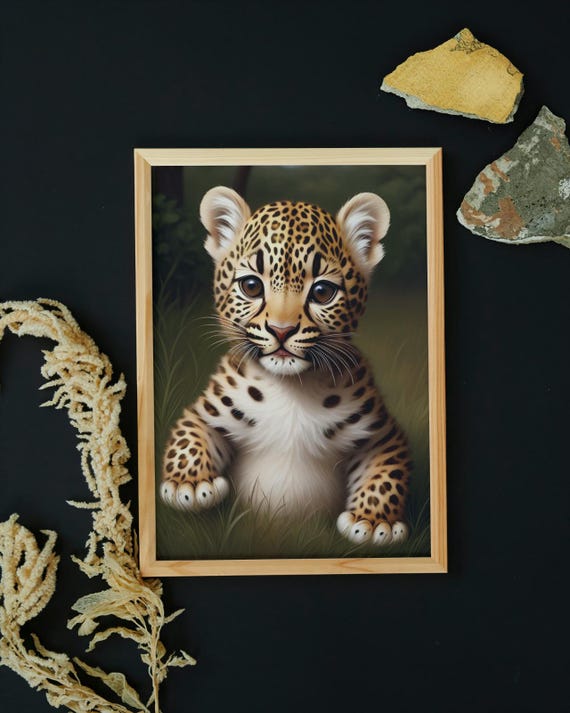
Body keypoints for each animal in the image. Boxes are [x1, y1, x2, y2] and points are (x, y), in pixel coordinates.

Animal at [160, 185, 412, 545]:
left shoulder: (383, 434)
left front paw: (375, 522)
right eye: (251, 286)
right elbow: (188, 435)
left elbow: (386, 471)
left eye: (322, 291)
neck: (291, 390)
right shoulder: (205, 411)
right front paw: (189, 486)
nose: (281, 330)